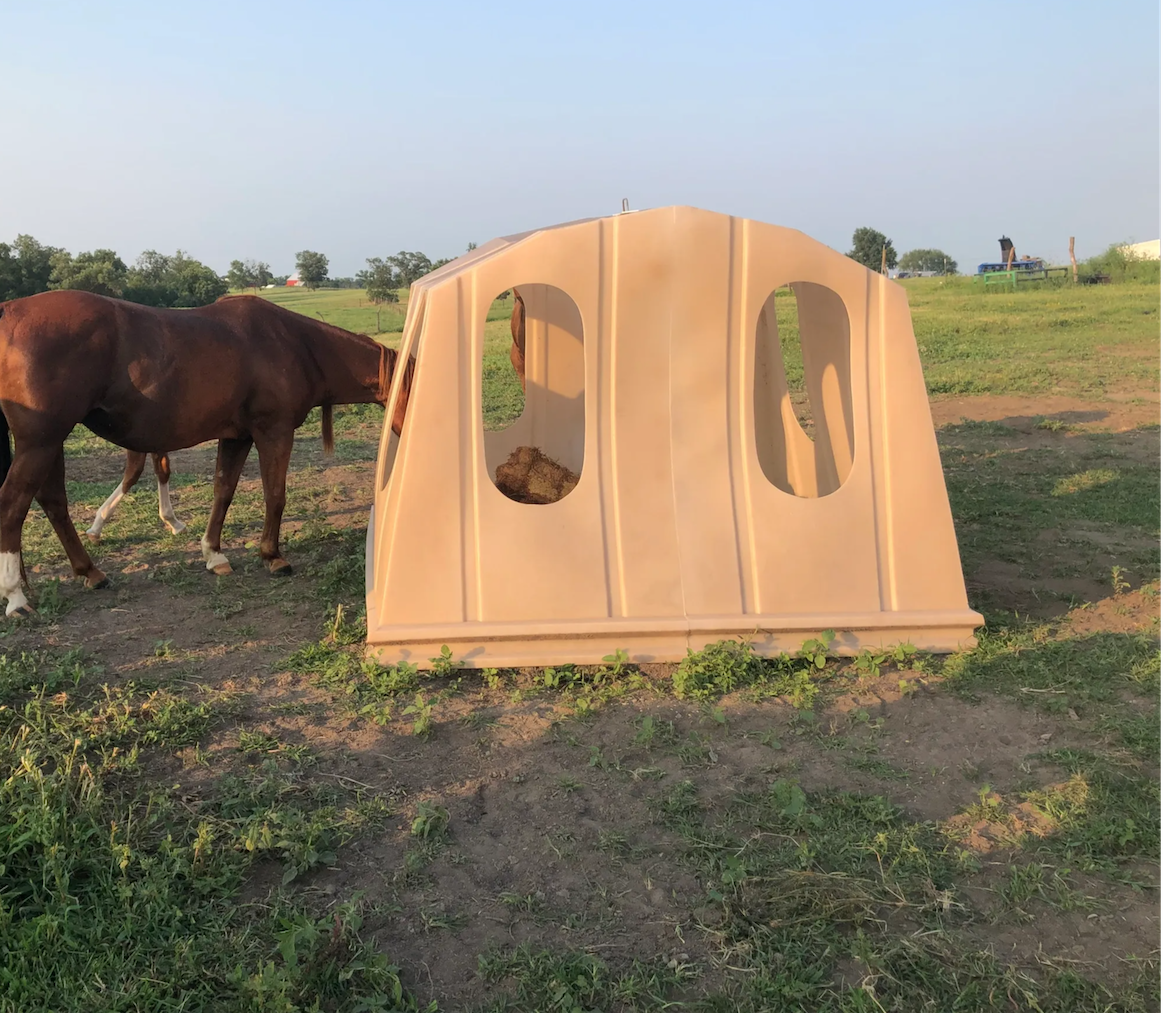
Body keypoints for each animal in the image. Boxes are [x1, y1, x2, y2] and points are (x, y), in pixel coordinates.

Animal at [0, 290, 414, 617]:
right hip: (42, 441)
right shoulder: (274, 431)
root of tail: (10, 311)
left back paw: (89, 571)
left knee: (53, 502)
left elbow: (223, 492)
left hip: (51, 442)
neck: (296, 344)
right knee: (14, 504)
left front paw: (214, 554)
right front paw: (272, 556)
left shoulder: (237, 437)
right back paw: (16, 596)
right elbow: (275, 495)